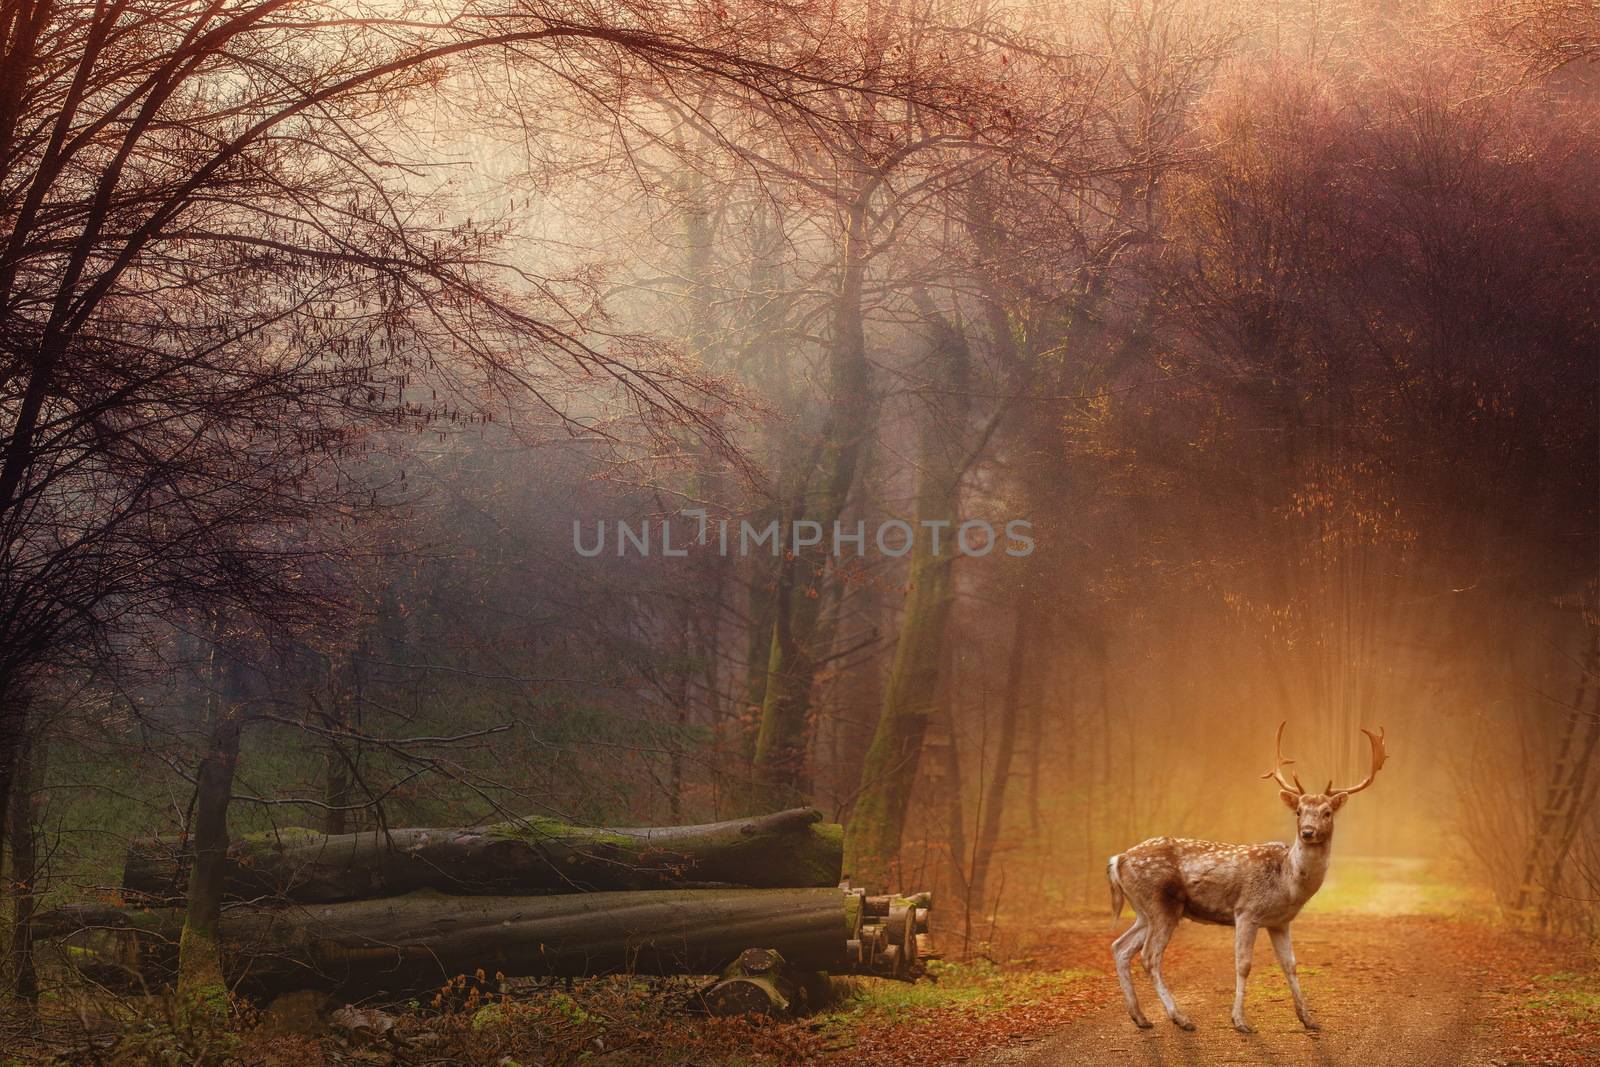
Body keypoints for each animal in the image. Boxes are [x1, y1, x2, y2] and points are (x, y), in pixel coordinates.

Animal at [1107, 723, 1382, 1030]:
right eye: (1299, 811)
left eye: (1327, 812)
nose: (1308, 832)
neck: (1287, 883)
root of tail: (1118, 859)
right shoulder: (1246, 911)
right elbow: (1244, 964)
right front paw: (1240, 1021)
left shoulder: (1280, 922)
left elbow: (1290, 964)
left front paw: (1308, 1019)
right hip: (1161, 904)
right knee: (1149, 957)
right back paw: (1181, 1018)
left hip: (1144, 910)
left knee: (1120, 947)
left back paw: (1140, 1017)